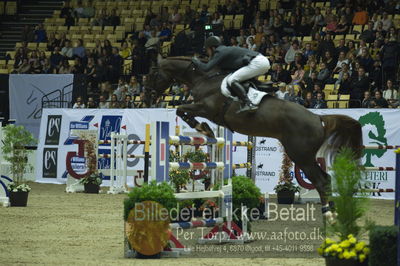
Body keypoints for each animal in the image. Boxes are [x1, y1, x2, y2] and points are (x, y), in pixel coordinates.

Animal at [145, 56, 364, 218]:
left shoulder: (206, 108)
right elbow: (183, 111)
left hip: (301, 155)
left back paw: (328, 213)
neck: (205, 79)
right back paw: (334, 212)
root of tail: (318, 118)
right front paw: (205, 129)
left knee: (321, 180)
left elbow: (181, 110)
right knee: (326, 179)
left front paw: (204, 128)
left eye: (153, 73)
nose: (148, 96)